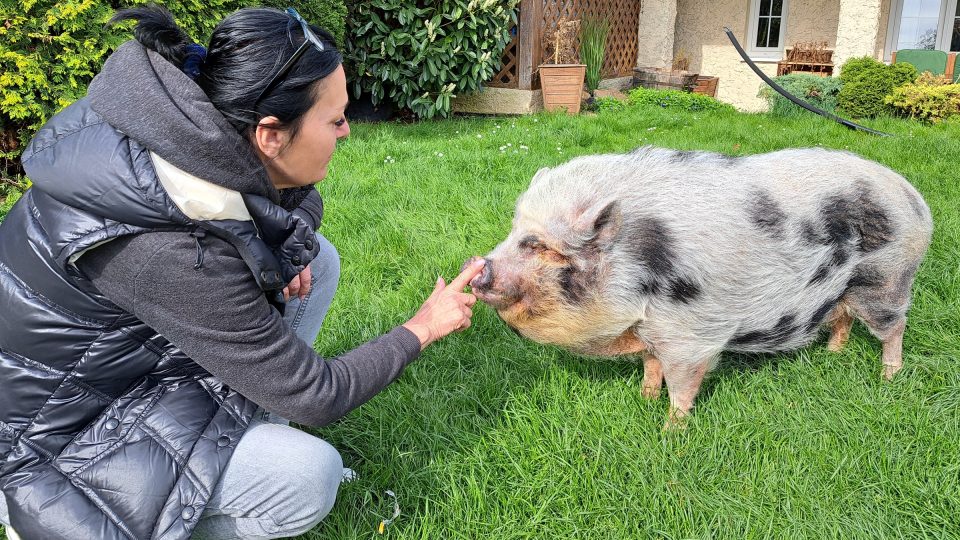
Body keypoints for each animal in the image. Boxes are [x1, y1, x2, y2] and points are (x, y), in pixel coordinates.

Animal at [468, 146, 932, 428]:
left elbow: (682, 383)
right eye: (514, 232)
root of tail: (913, 197)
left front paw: (670, 431)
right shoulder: (650, 327)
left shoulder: (688, 333)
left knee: (894, 327)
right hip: (848, 288)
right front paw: (644, 399)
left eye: (538, 245)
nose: (478, 270)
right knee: (842, 318)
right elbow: (651, 365)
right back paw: (834, 354)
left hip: (887, 278)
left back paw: (889, 378)